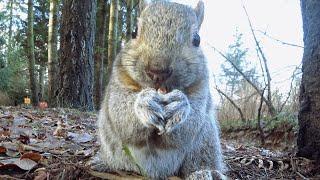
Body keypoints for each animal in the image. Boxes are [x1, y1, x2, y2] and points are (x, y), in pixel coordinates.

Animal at [95, 1, 225, 179]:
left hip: (205, 140)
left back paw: (205, 172)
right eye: (134, 32)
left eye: (197, 39)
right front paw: (144, 104)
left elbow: (194, 118)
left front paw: (180, 106)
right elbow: (119, 113)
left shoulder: (201, 88)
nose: (157, 70)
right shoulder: (118, 82)